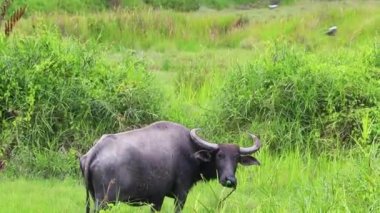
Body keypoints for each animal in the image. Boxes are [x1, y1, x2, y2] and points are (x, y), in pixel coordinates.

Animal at [78, 120, 260, 212]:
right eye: (220, 156)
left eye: (236, 158)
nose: (230, 180)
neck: (191, 151)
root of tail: (94, 152)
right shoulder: (181, 194)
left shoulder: (156, 200)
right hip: (104, 202)